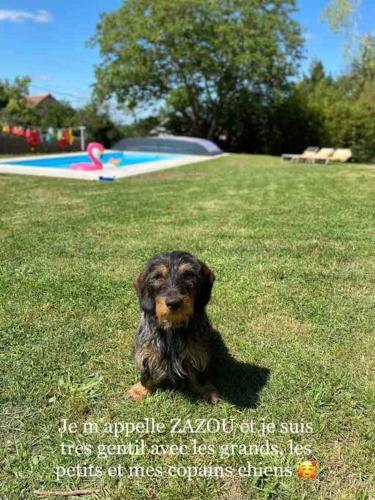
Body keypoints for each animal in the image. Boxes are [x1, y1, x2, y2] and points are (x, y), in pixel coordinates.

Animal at [129, 250, 220, 402]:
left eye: (188, 275)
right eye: (158, 277)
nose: (173, 303)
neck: (173, 327)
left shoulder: (197, 352)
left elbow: (198, 372)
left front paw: (204, 389)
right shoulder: (149, 350)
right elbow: (147, 373)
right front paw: (141, 390)